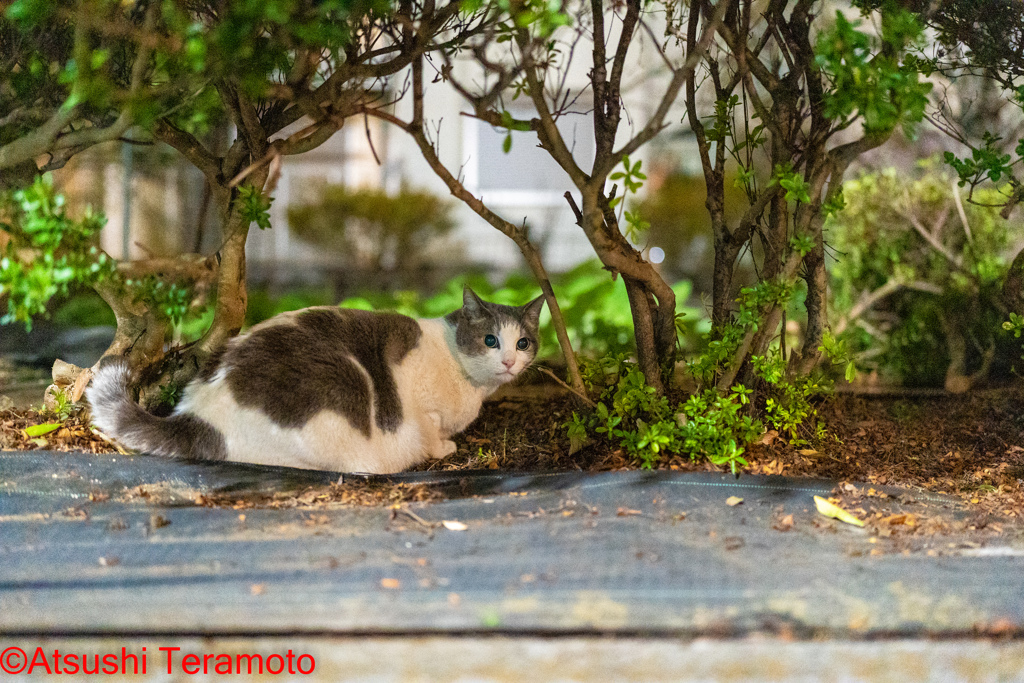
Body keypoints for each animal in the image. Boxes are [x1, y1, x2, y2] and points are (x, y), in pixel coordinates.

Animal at [88, 286, 548, 473]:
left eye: (523, 342)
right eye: (490, 340)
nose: (510, 361)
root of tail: (199, 416)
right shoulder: (422, 407)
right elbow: (432, 432)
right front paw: (443, 448)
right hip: (341, 387)